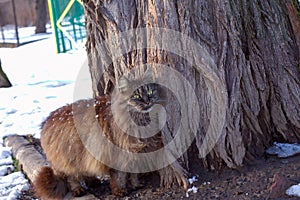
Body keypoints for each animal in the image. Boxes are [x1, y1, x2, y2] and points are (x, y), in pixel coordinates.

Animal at [35, 76, 168, 199]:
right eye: (136, 96)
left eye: (150, 92)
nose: (147, 102)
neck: (141, 120)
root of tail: (46, 121)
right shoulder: (119, 154)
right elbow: (119, 177)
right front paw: (119, 190)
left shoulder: (137, 153)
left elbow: (134, 173)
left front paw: (136, 184)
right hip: (70, 158)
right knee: (72, 177)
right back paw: (78, 190)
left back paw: (93, 181)